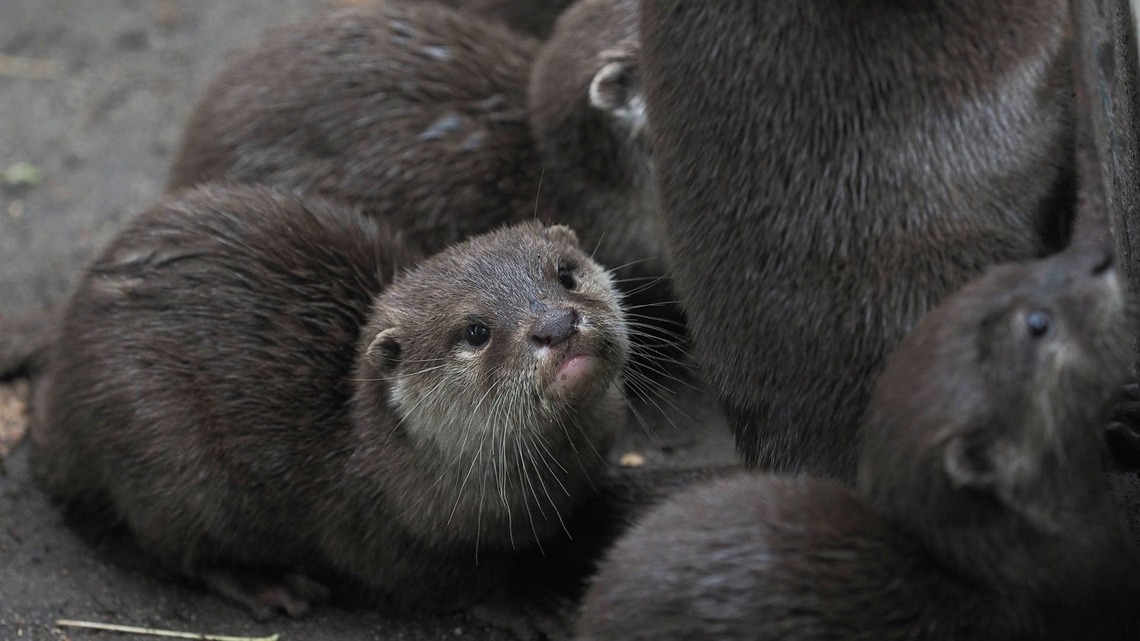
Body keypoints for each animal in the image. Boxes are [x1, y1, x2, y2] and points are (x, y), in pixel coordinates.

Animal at [30, 184, 630, 618]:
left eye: (566, 274)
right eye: (476, 332)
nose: (557, 325)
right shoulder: (379, 534)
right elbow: (451, 582)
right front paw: (526, 603)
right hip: (163, 450)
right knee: (178, 548)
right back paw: (269, 585)